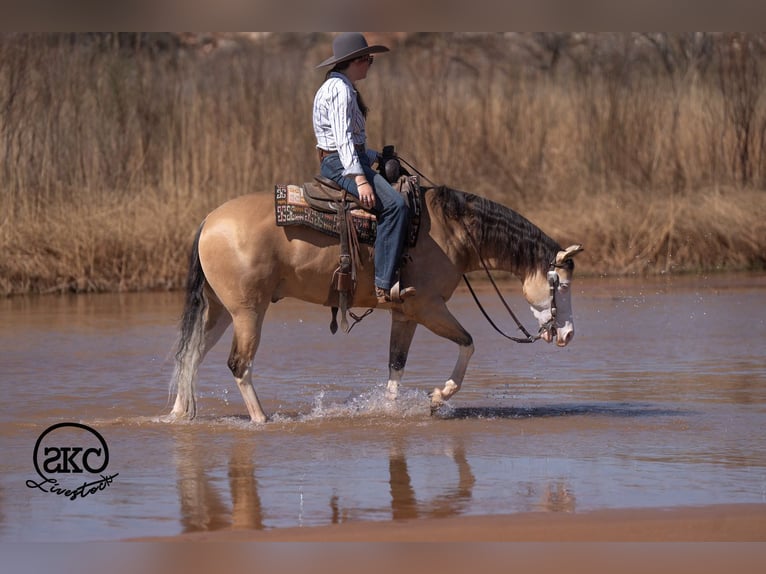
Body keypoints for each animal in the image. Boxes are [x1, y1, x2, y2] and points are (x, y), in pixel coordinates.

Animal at [169, 184, 583, 423]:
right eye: (560, 284)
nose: (567, 334)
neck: (452, 231)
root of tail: (208, 222)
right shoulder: (427, 307)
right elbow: (468, 344)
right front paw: (437, 397)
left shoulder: (405, 314)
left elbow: (395, 367)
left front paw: (391, 409)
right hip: (248, 312)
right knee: (239, 364)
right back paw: (261, 420)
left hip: (219, 312)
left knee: (190, 356)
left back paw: (178, 415)